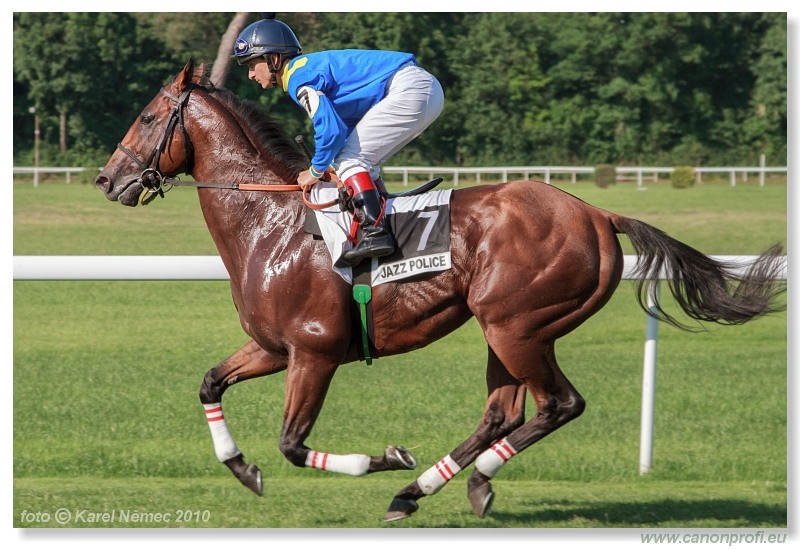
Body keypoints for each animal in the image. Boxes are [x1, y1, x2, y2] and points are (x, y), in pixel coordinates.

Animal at [95, 60, 788, 520]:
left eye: (149, 116)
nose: (106, 178)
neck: (272, 223)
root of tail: (597, 214)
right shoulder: (273, 347)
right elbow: (211, 384)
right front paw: (243, 470)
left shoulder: (314, 352)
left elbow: (293, 444)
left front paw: (385, 458)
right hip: (508, 329)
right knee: (504, 412)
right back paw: (429, 490)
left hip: (515, 324)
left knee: (558, 405)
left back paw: (446, 482)